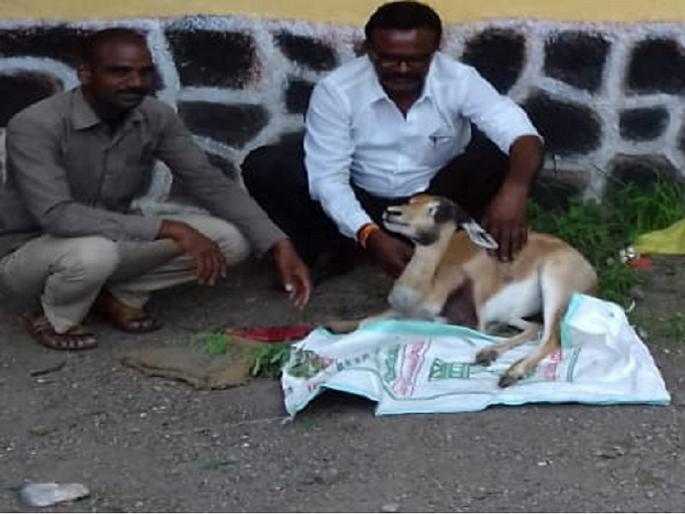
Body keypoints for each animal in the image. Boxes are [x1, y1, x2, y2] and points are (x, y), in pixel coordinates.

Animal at [351, 194, 598, 387]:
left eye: (435, 210)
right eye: (411, 200)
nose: (392, 212)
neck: (424, 289)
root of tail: (587, 267)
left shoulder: (461, 323)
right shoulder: (398, 310)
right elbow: (365, 323)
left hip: (553, 287)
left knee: (550, 338)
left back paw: (510, 373)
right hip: (514, 313)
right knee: (535, 327)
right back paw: (488, 352)